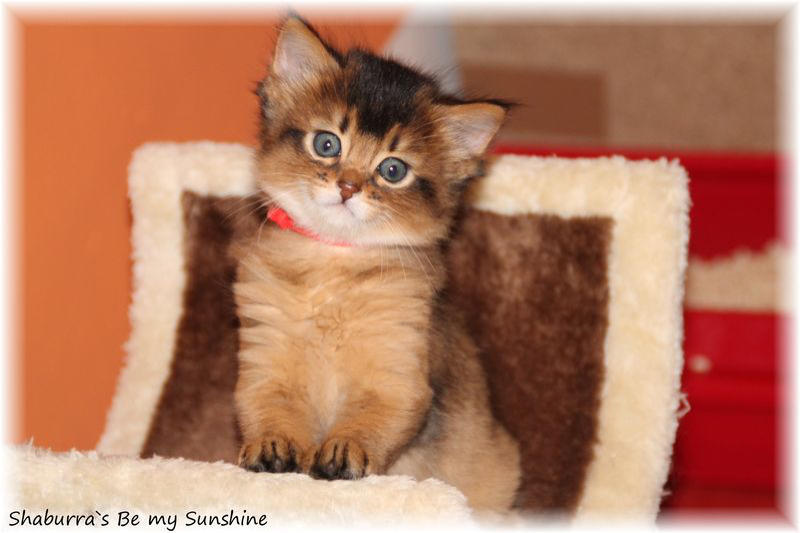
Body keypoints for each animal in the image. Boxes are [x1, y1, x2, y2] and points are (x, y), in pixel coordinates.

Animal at [233, 16, 521, 511]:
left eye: (392, 170)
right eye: (327, 143)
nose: (348, 187)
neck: (332, 268)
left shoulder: (398, 370)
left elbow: (372, 418)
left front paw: (344, 451)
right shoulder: (265, 358)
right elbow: (268, 407)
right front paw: (273, 446)